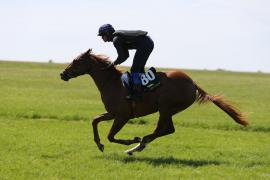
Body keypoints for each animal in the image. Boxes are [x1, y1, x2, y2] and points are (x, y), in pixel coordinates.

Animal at [59, 48, 249, 155]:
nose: (62, 74)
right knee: (168, 130)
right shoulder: (113, 113)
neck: (111, 82)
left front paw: (132, 140)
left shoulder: (122, 116)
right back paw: (139, 145)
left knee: (162, 129)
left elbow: (111, 136)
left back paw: (137, 146)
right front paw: (99, 144)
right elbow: (94, 121)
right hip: (168, 110)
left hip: (165, 108)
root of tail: (192, 83)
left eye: (76, 61)